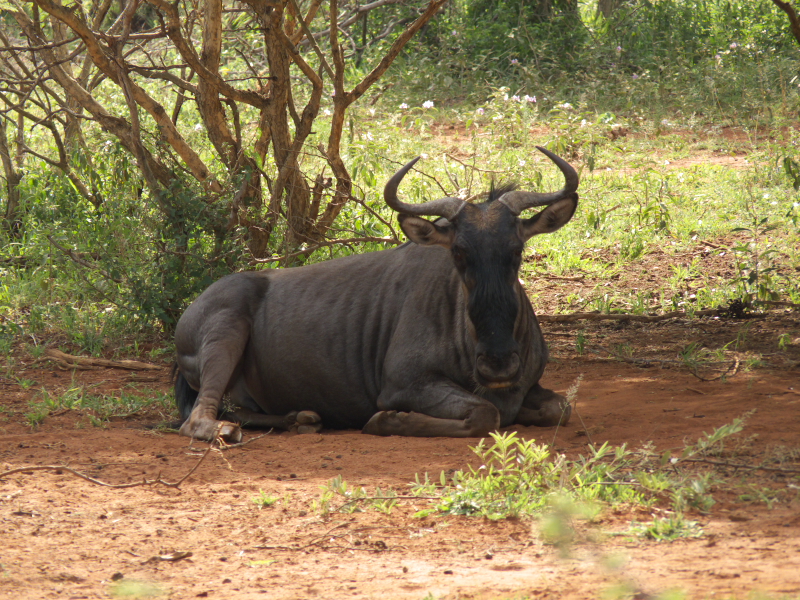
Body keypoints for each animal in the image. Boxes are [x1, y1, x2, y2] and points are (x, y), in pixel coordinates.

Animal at [174, 146, 579, 442]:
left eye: (516, 250)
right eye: (459, 252)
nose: (498, 363)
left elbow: (559, 408)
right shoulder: (407, 384)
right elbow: (485, 413)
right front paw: (389, 421)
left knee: (236, 409)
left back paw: (300, 418)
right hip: (226, 332)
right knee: (198, 419)